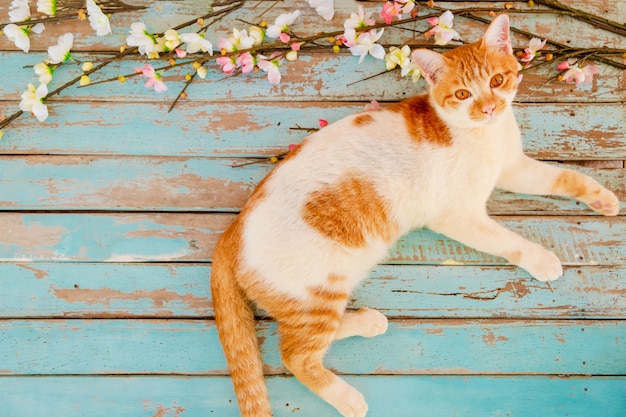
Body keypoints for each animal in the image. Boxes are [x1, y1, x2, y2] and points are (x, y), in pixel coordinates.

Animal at [208, 13, 616, 416]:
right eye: (463, 94)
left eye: (496, 81)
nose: (489, 109)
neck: (484, 135)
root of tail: (233, 230)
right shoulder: (458, 216)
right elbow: (508, 241)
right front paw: (541, 259)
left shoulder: (513, 168)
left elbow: (565, 176)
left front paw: (603, 197)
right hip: (318, 291)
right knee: (294, 355)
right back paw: (348, 398)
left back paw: (367, 321)